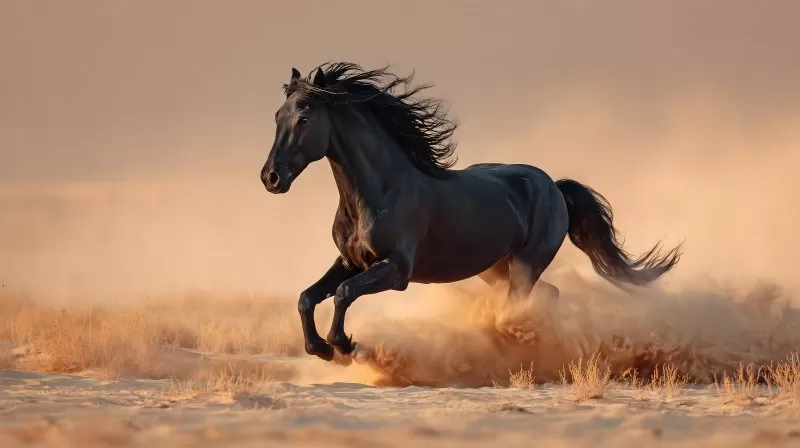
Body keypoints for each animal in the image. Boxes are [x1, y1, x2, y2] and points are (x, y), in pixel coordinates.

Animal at [260, 62, 682, 363]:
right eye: (277, 116)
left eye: (304, 118)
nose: (271, 177)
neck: (380, 190)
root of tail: (554, 186)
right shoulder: (351, 261)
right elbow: (308, 296)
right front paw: (320, 348)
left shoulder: (396, 270)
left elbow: (343, 294)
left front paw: (345, 345)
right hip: (494, 270)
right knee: (547, 295)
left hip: (524, 265)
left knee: (525, 302)